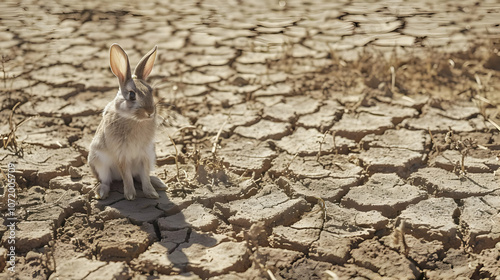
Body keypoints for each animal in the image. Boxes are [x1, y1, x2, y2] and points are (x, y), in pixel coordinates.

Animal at [89, 43, 167, 200]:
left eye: (151, 90)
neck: (134, 119)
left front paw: (151, 194)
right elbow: (126, 175)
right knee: (106, 180)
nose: (150, 112)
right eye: (131, 95)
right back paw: (101, 193)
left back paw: (159, 183)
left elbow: (144, 176)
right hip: (99, 163)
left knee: (139, 176)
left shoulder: (145, 154)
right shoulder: (122, 155)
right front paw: (130, 196)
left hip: (152, 157)